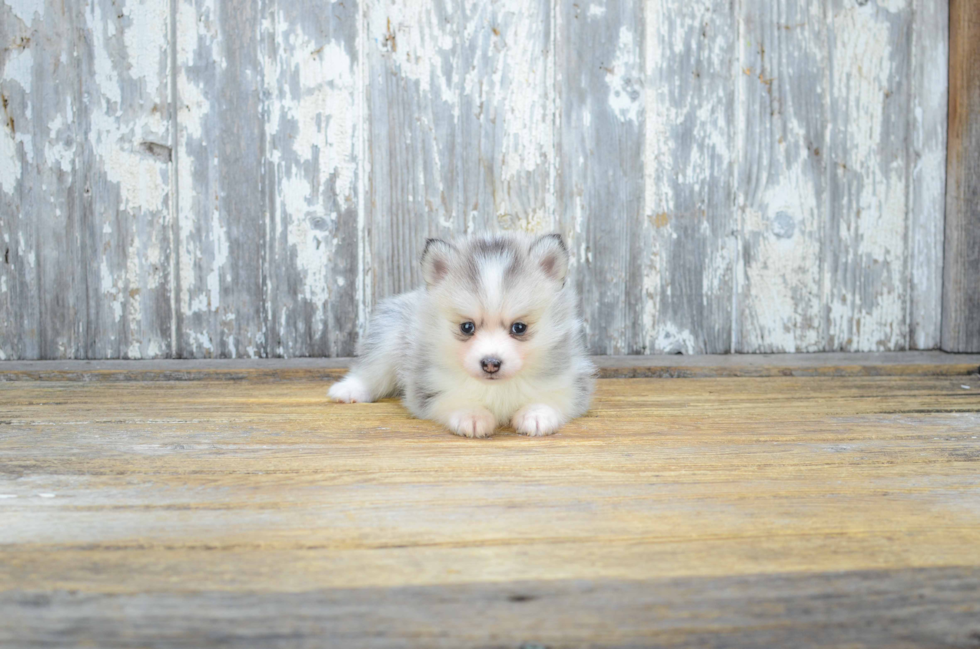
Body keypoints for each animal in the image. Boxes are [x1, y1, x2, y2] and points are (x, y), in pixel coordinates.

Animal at [326, 230, 592, 438]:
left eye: (519, 327)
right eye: (467, 327)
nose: (491, 363)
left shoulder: (571, 380)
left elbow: (556, 397)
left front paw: (537, 413)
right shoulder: (429, 386)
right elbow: (452, 399)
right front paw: (472, 415)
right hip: (389, 337)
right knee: (371, 372)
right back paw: (350, 390)